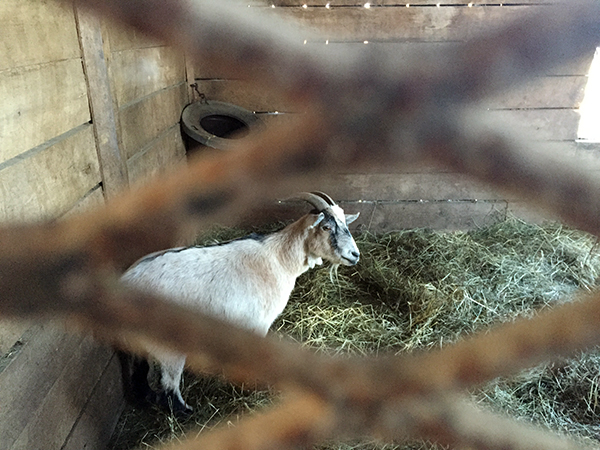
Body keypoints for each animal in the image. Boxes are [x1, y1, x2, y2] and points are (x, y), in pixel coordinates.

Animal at [119, 192, 358, 414]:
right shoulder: (257, 324)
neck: (278, 259)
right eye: (326, 226)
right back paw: (187, 412)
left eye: (345, 224)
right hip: (167, 345)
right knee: (169, 388)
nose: (354, 254)